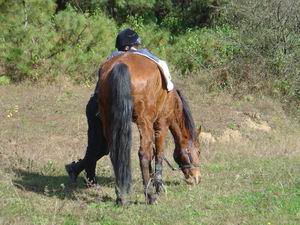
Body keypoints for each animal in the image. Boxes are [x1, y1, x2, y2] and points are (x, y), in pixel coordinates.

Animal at [97, 52, 202, 204]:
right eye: (198, 151)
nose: (197, 178)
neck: (172, 100)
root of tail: (121, 64)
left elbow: (152, 152)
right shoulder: (161, 124)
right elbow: (158, 154)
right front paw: (158, 186)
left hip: (108, 119)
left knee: (115, 154)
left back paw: (121, 196)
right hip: (144, 121)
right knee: (143, 154)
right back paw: (150, 196)